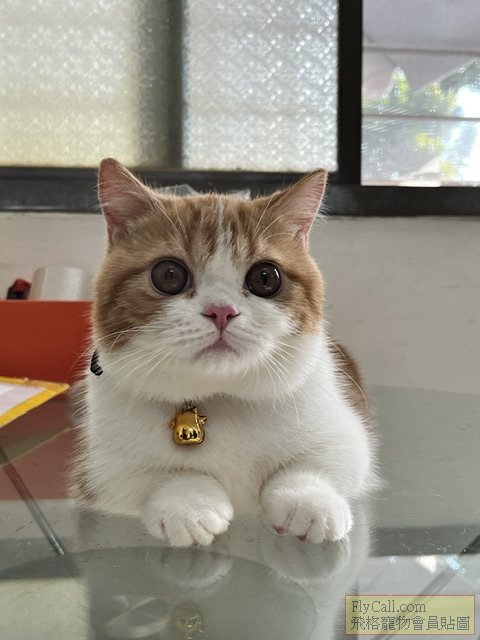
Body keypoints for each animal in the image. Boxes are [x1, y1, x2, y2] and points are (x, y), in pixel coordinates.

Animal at [72, 158, 376, 548]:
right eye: (168, 275)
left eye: (265, 278)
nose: (221, 311)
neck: (220, 398)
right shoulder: (96, 469)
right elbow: (154, 475)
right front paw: (188, 504)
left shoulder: (346, 432)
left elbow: (322, 461)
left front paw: (308, 500)